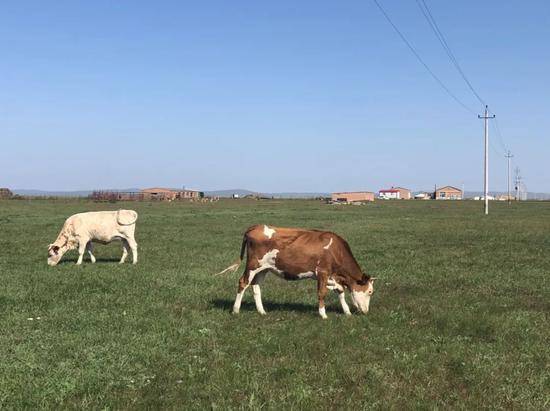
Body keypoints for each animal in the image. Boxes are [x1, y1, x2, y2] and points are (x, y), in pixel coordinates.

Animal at [218, 225, 378, 318]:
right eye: (370, 291)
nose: (366, 311)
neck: (336, 250)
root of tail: (255, 227)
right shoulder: (323, 272)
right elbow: (322, 293)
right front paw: (323, 315)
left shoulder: (334, 277)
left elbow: (340, 292)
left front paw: (347, 312)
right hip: (253, 265)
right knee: (243, 283)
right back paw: (236, 310)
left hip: (264, 269)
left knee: (256, 286)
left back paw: (261, 311)